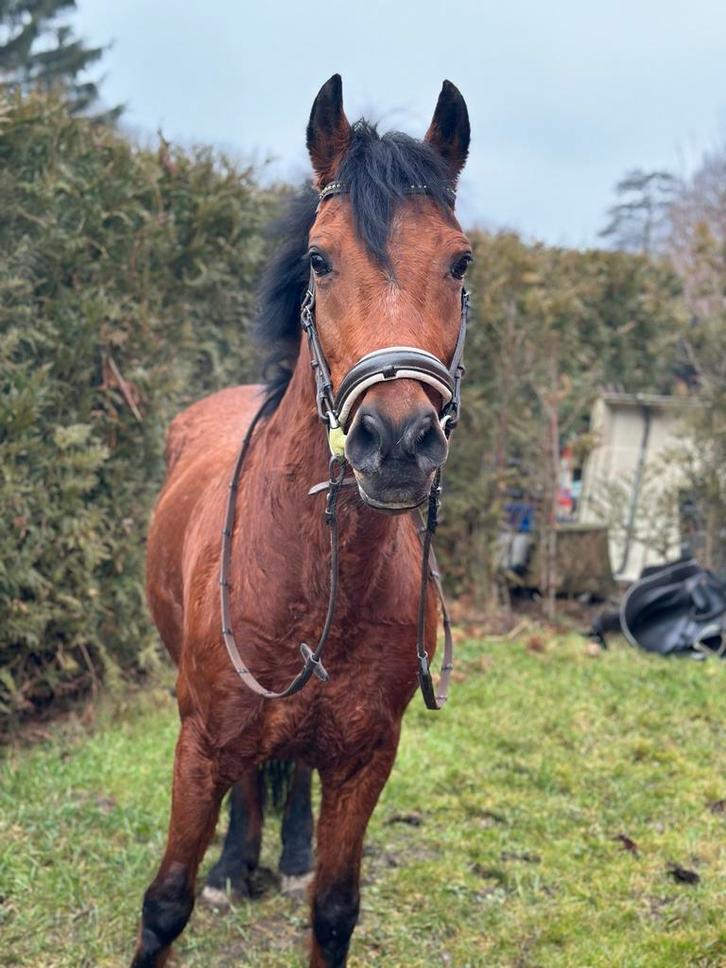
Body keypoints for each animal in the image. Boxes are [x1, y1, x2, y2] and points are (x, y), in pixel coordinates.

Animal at [131, 74, 472, 967]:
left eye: (461, 261)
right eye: (321, 259)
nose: (397, 441)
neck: (314, 573)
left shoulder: (366, 759)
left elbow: (334, 908)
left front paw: (297, 871)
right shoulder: (199, 743)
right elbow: (165, 904)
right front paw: (215, 871)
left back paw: (280, 857)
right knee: (254, 779)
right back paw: (234, 864)